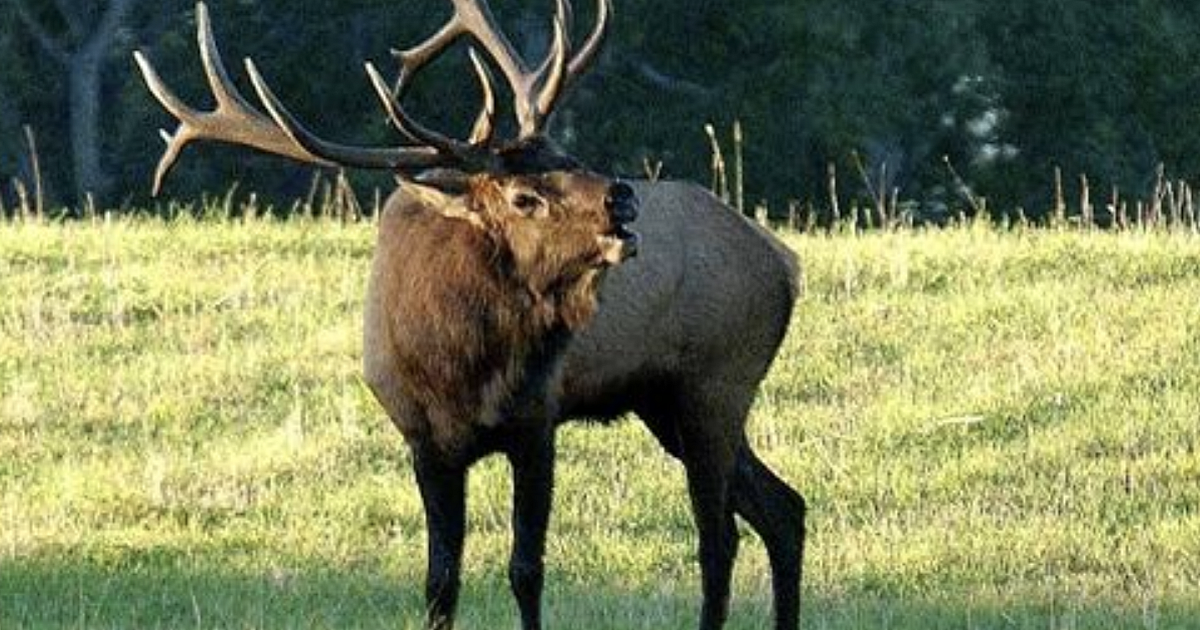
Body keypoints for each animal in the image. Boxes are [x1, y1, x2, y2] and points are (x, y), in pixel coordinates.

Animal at [134, 2, 805, 629]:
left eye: (568, 153)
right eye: (523, 196)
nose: (622, 195)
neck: (462, 369)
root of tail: (784, 261)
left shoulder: (537, 423)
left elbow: (526, 569)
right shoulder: (422, 440)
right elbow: (440, 580)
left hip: (716, 383)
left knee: (720, 536)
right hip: (666, 403)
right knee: (780, 510)